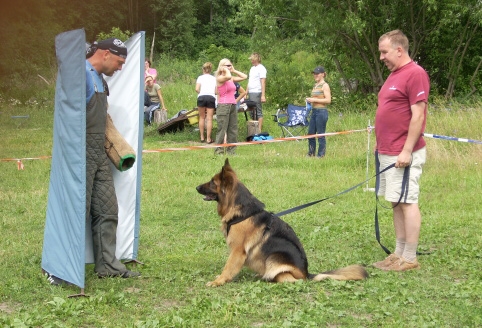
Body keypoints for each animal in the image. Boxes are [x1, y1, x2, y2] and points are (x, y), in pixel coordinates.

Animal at [194, 158, 368, 286]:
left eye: (212, 182)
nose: (196, 187)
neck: (241, 211)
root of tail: (307, 274)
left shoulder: (238, 251)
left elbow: (228, 267)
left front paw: (218, 282)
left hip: (274, 258)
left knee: (288, 279)